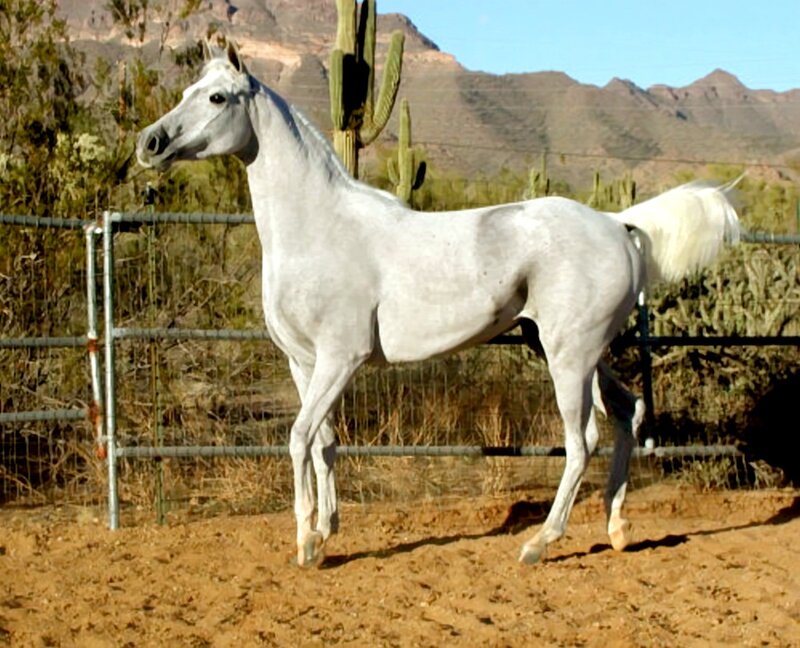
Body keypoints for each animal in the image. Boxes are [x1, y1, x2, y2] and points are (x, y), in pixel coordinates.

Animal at [136, 42, 741, 567]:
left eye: (217, 97)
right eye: (189, 89)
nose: (150, 144)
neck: (320, 227)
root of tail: (617, 223)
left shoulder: (340, 358)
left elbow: (299, 438)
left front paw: (306, 543)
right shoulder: (303, 362)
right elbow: (325, 442)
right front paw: (328, 532)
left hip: (570, 356)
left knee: (581, 441)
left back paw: (538, 545)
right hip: (571, 350)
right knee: (627, 412)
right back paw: (616, 529)